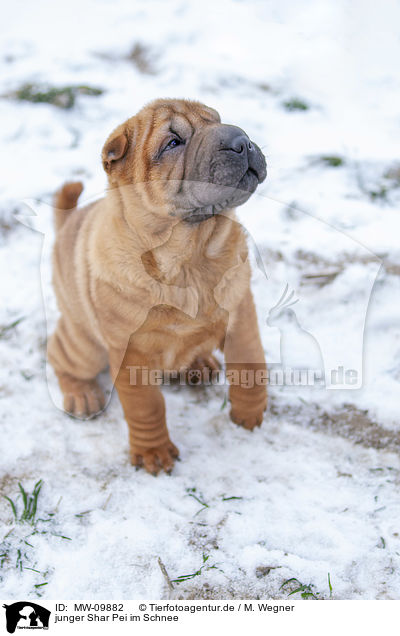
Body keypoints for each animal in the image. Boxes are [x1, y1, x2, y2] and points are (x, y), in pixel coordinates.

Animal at [48, 99, 268, 474]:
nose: (242, 141)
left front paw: (249, 415)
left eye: (217, 120)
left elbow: (250, 363)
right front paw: (154, 454)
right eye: (173, 143)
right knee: (59, 355)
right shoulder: (131, 352)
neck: (190, 257)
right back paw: (82, 396)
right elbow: (146, 406)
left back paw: (199, 364)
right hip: (83, 344)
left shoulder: (241, 313)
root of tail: (66, 225)